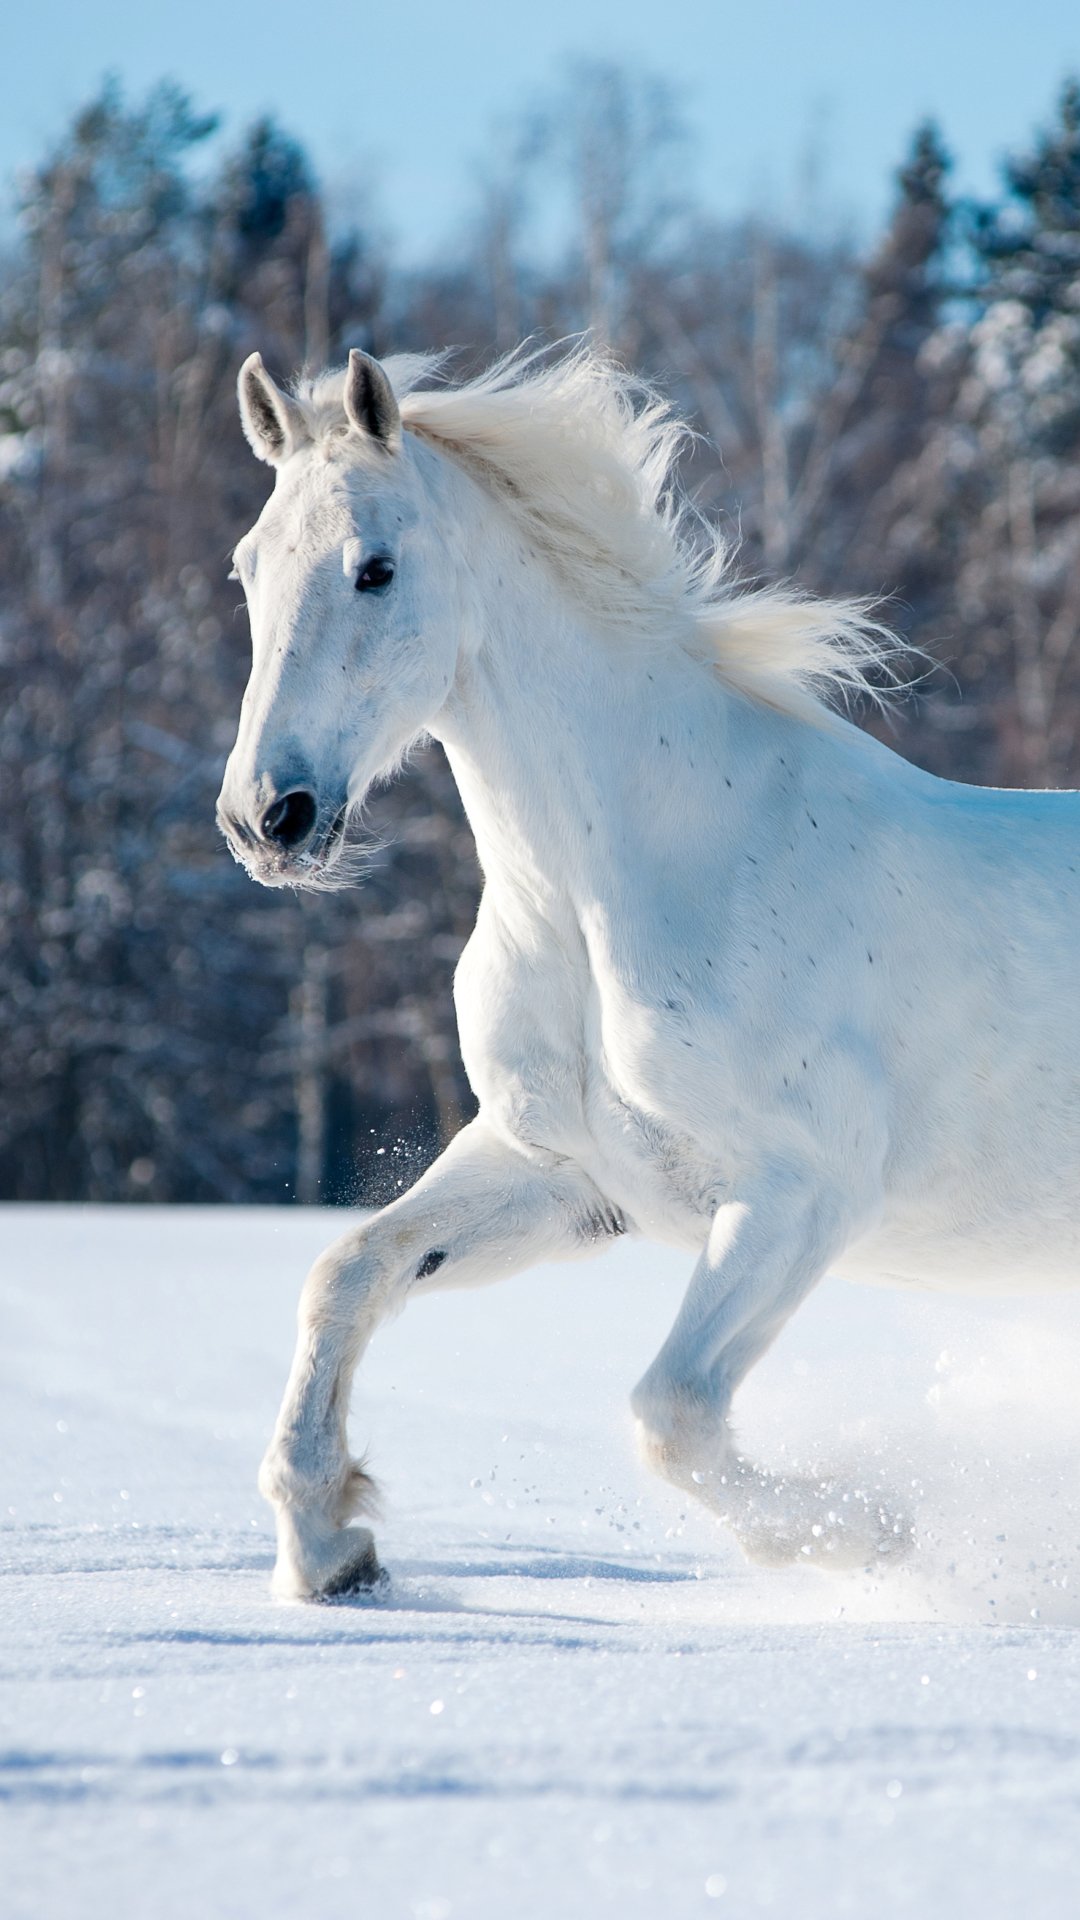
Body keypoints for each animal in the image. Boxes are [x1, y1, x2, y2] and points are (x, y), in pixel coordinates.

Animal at [217, 342, 1080, 1601]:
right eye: (247, 567)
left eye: (374, 568)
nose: (266, 819)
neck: (626, 889)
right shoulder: (561, 1172)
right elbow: (348, 1273)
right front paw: (330, 1548)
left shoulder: (800, 1197)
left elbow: (671, 1414)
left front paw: (872, 1535)